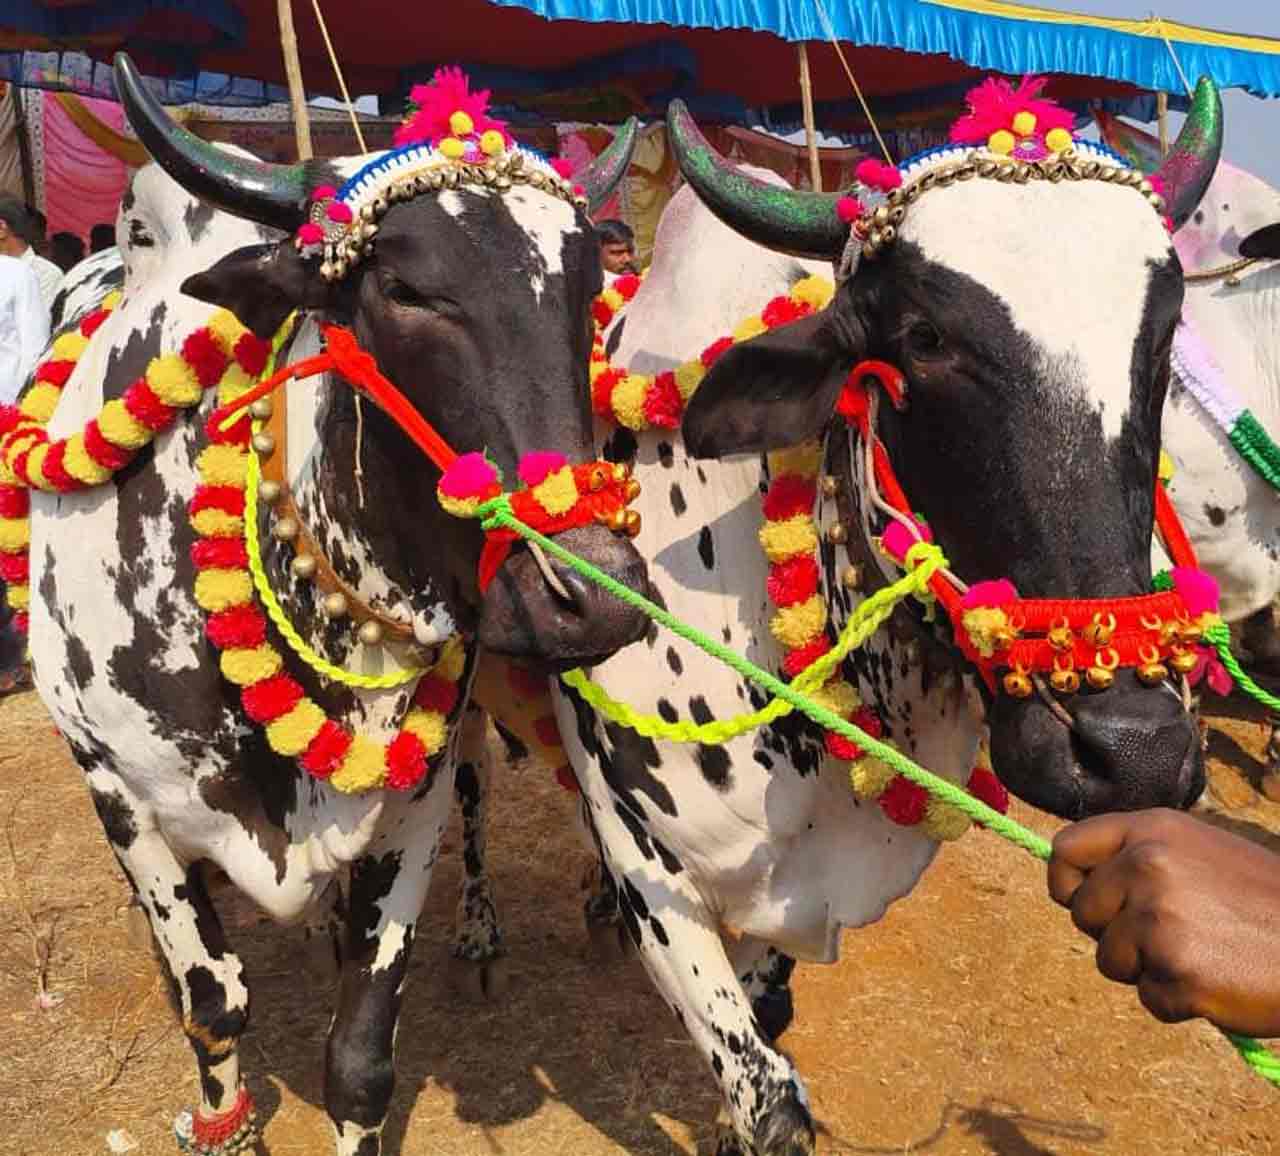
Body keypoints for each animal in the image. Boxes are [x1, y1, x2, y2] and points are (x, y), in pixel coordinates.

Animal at [28, 55, 648, 1156]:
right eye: (401, 287)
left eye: (588, 292)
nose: (594, 599)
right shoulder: (122, 794)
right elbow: (214, 1003)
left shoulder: (409, 802)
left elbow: (359, 1061)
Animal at [532, 82, 1222, 1156]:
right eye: (925, 338)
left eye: (1163, 335)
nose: (1134, 753)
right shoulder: (650, 861)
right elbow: (766, 1095)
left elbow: (771, 1019)